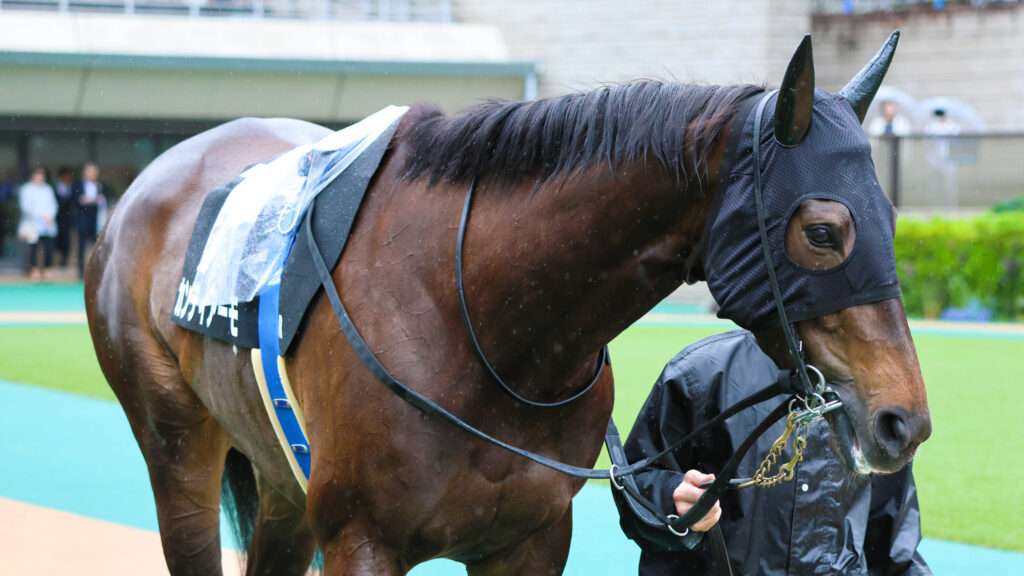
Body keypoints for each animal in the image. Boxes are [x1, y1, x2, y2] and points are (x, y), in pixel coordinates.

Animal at [85, 33, 930, 575]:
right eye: (823, 231)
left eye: (893, 222)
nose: (906, 421)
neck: (478, 331)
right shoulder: (362, 540)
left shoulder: (530, 541)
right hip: (177, 444)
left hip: (281, 475)